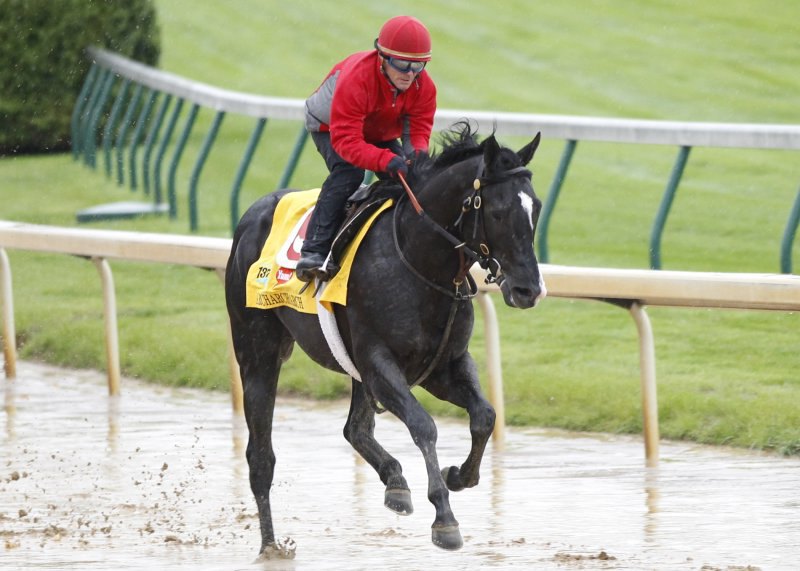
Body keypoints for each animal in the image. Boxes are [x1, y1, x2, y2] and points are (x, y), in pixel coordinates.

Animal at [228, 122, 548, 560]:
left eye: (536, 208)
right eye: (498, 211)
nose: (528, 289)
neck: (420, 263)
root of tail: (252, 213)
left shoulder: (443, 365)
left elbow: (485, 416)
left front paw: (458, 475)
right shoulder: (379, 363)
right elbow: (424, 426)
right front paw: (445, 519)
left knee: (355, 429)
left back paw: (394, 482)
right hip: (256, 349)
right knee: (261, 456)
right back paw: (270, 546)